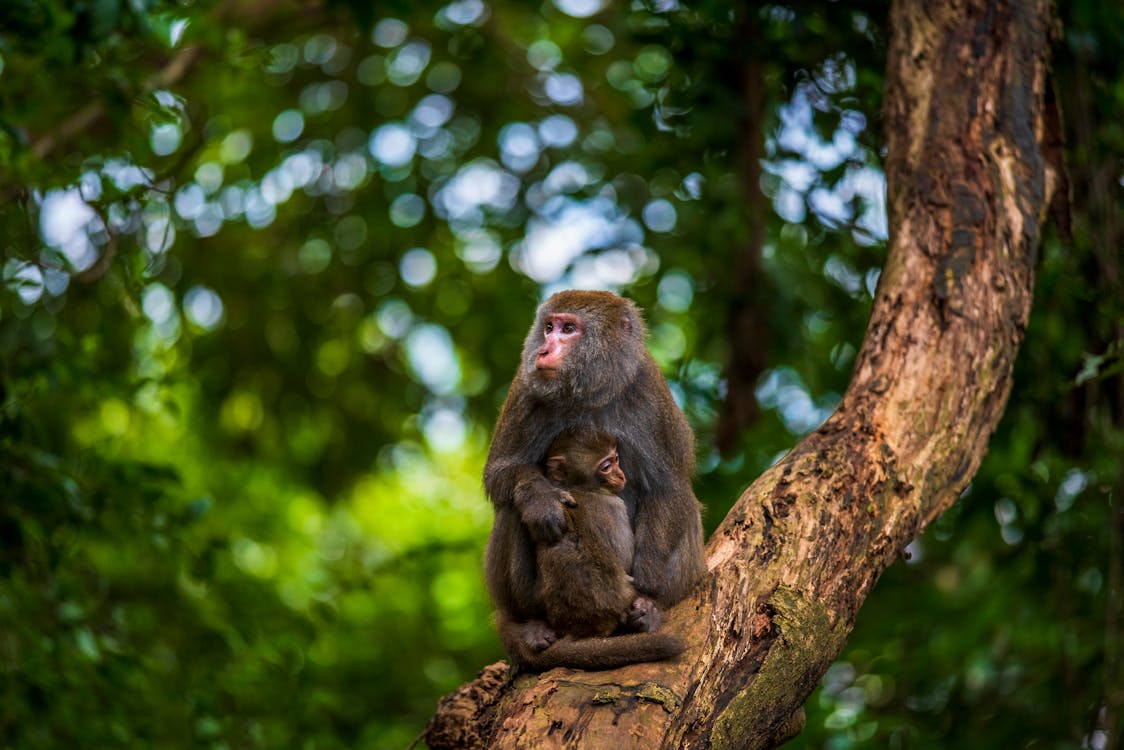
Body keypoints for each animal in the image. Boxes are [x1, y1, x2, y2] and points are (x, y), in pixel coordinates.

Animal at [483, 290, 701, 665]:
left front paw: (648, 586)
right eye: (549, 327)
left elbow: (669, 485)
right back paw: (531, 625)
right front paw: (541, 499)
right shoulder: (525, 389)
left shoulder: (648, 389)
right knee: (512, 508)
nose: (543, 350)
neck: (590, 392)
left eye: (569, 329)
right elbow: (500, 473)